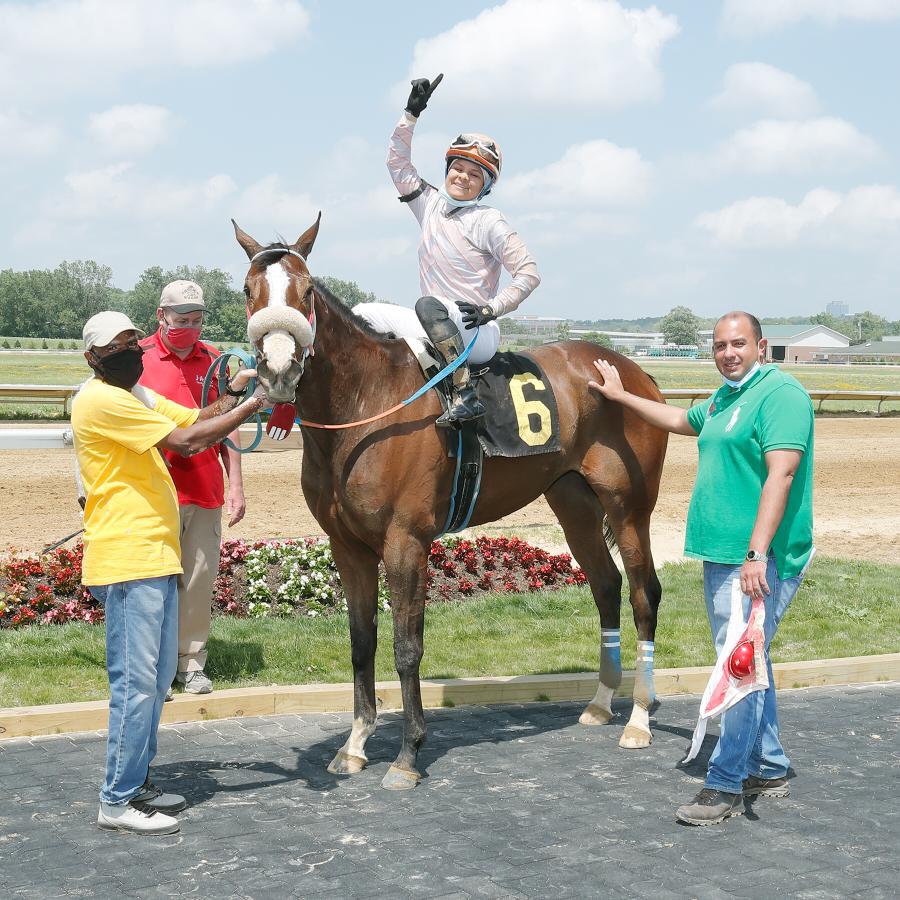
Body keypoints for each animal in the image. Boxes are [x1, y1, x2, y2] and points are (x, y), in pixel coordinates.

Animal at [236, 216, 672, 788]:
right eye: (248, 291)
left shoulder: (406, 541)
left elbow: (406, 648)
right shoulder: (347, 547)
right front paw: (354, 745)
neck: (365, 404)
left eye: (305, 291)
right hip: (573, 502)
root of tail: (632, 372)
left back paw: (639, 718)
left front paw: (407, 754)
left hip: (628, 506)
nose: (280, 369)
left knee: (644, 594)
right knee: (606, 586)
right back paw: (600, 703)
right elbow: (360, 644)